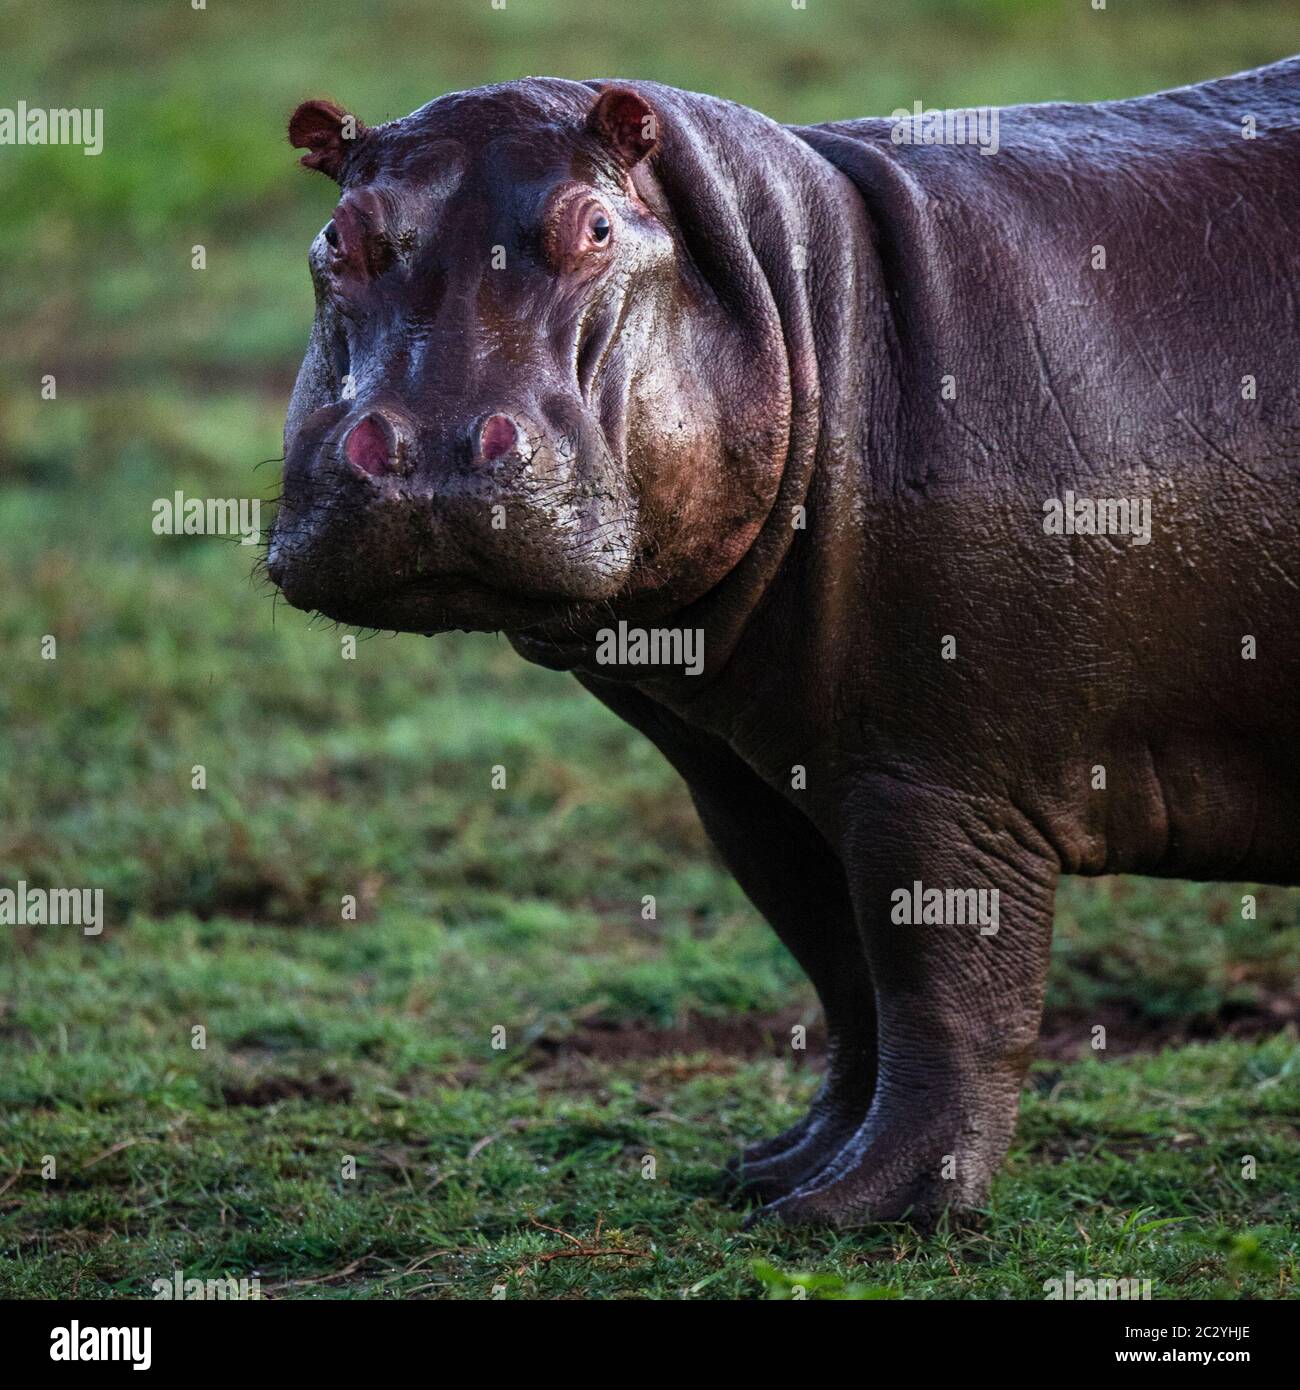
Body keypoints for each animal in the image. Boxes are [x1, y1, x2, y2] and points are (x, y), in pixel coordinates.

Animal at [267, 60, 1300, 1227]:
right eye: (339, 234)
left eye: (593, 226)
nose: (431, 448)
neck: (801, 293)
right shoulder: (754, 785)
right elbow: (842, 974)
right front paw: (775, 1170)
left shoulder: (938, 783)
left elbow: (944, 991)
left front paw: (859, 1209)